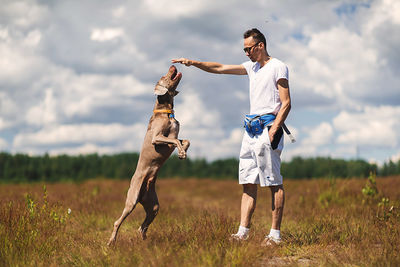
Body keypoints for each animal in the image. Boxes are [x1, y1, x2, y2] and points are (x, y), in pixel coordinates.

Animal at [107, 66, 190, 246]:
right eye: (164, 76)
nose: (173, 66)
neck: (166, 111)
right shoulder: (157, 138)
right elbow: (175, 141)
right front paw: (181, 152)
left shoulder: (174, 135)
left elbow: (185, 140)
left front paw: (183, 153)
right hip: (132, 200)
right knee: (118, 221)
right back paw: (111, 241)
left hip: (153, 206)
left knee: (142, 226)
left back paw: (145, 243)